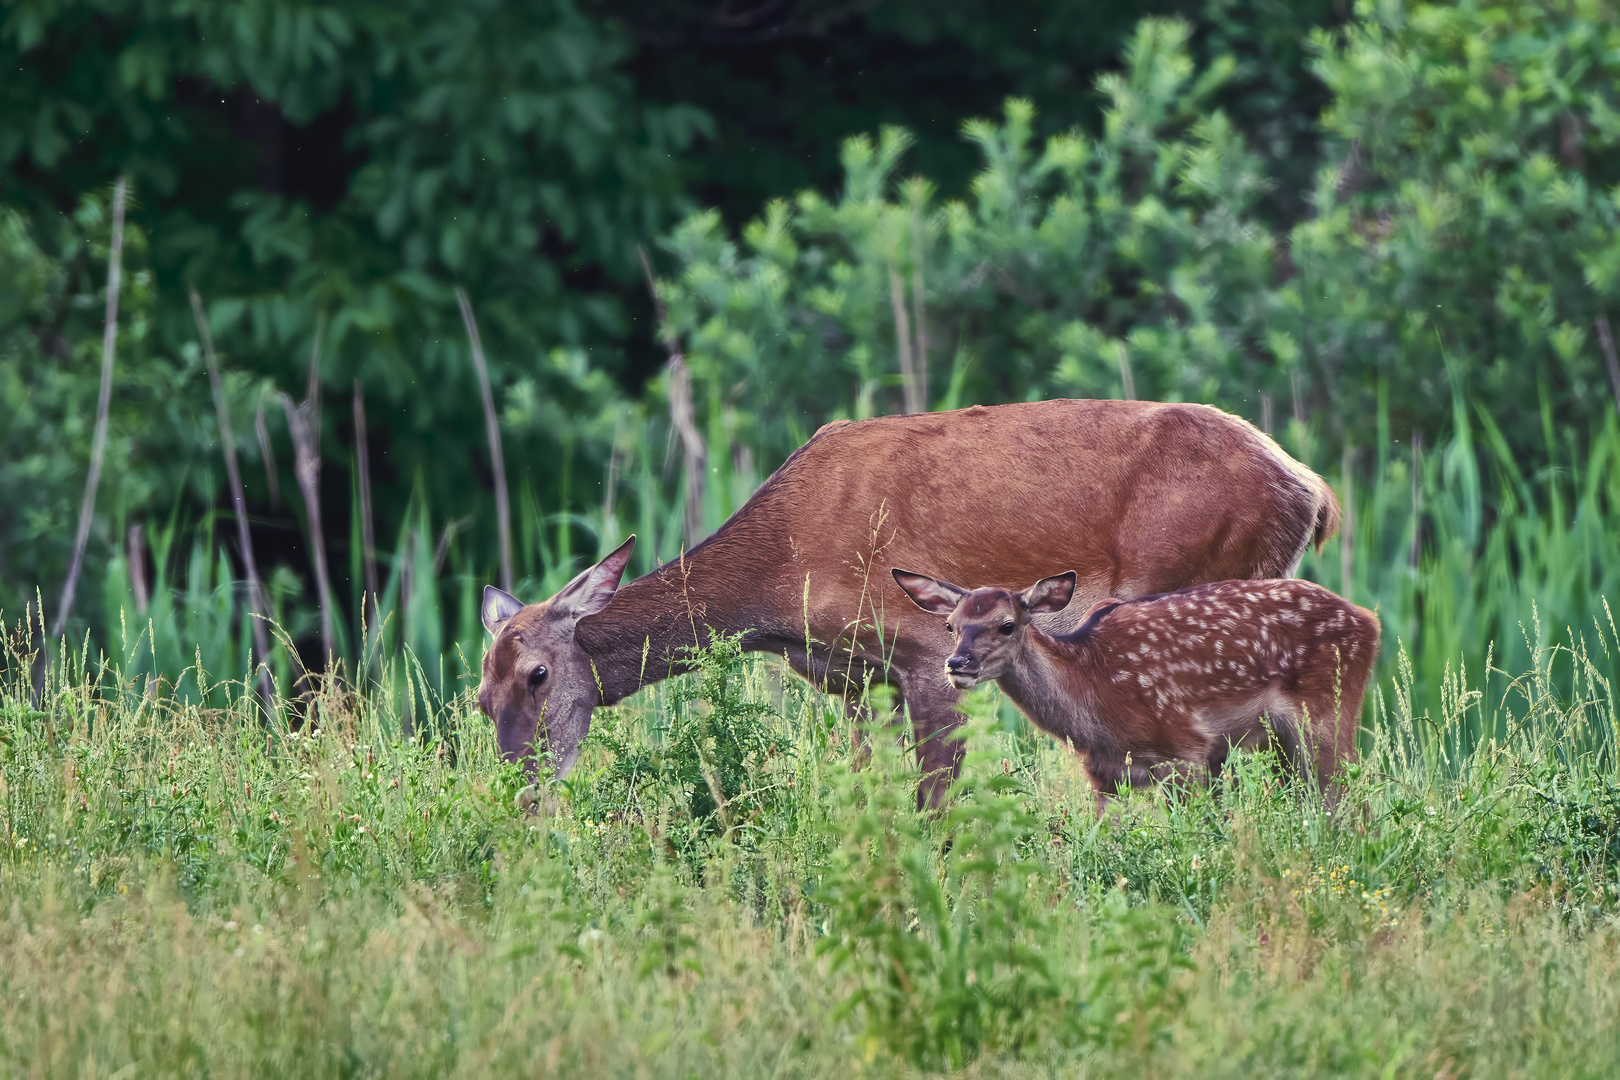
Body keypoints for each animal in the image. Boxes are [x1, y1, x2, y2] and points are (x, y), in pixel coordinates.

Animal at [473, 396, 1334, 803]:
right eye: (479, 698)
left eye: (537, 675)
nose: (519, 791)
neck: (780, 581)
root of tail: (1312, 489)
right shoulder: (858, 681)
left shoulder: (926, 649)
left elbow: (935, 798)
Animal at [894, 566, 1373, 809]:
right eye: (951, 625)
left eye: (1006, 624)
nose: (957, 663)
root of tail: (1370, 620)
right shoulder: (1104, 774)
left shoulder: (1185, 749)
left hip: (1326, 715)